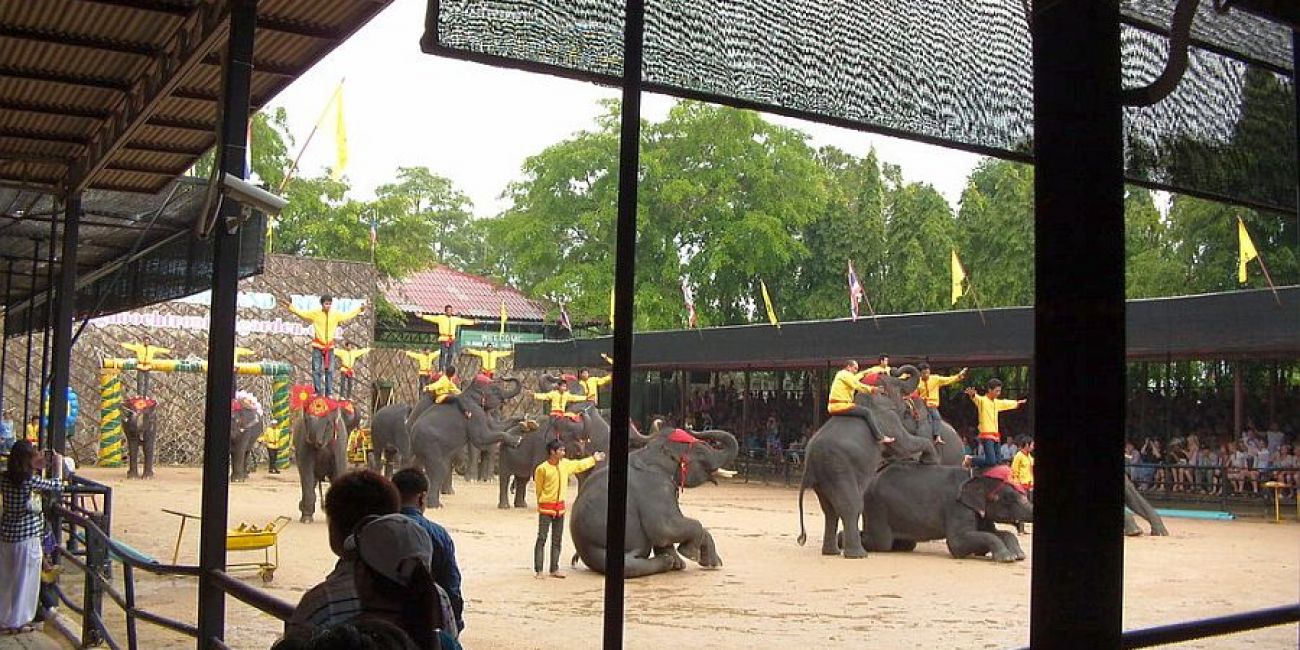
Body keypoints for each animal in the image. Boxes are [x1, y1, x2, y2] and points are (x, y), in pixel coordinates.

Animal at [572, 426, 743, 579]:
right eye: (700, 452)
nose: (691, 428)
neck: (651, 453)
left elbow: (664, 534)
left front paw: (709, 563)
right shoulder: (656, 488)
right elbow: (666, 528)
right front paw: (691, 555)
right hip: (599, 550)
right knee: (631, 566)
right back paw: (665, 561)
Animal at [790, 366, 935, 559]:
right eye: (898, 386)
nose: (895, 369)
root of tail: (809, 463)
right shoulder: (888, 421)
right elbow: (904, 444)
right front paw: (931, 461)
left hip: (823, 479)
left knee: (829, 510)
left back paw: (831, 552)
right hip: (838, 471)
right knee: (851, 505)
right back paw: (859, 555)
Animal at [863, 462, 1034, 564]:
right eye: (1007, 498)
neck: (975, 475)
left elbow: (997, 532)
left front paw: (1019, 555)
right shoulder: (957, 506)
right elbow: (957, 543)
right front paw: (1007, 558)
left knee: (906, 544)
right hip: (877, 508)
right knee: (882, 543)